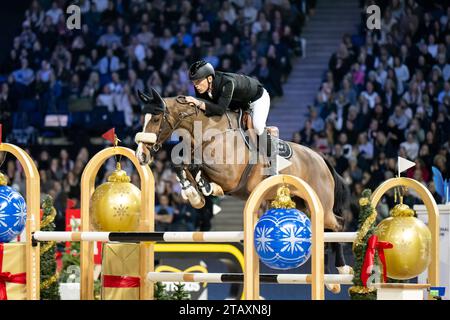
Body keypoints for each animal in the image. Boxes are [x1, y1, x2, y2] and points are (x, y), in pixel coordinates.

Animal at [135, 87, 354, 292]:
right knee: (323, 232)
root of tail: (321, 159)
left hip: (322, 206)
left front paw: (204, 188)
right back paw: (330, 281)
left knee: (338, 225)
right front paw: (194, 194)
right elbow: (181, 164)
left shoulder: (229, 175)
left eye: (156, 118)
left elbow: (195, 164)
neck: (211, 131)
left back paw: (342, 270)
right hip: (303, 205)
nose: (141, 155)